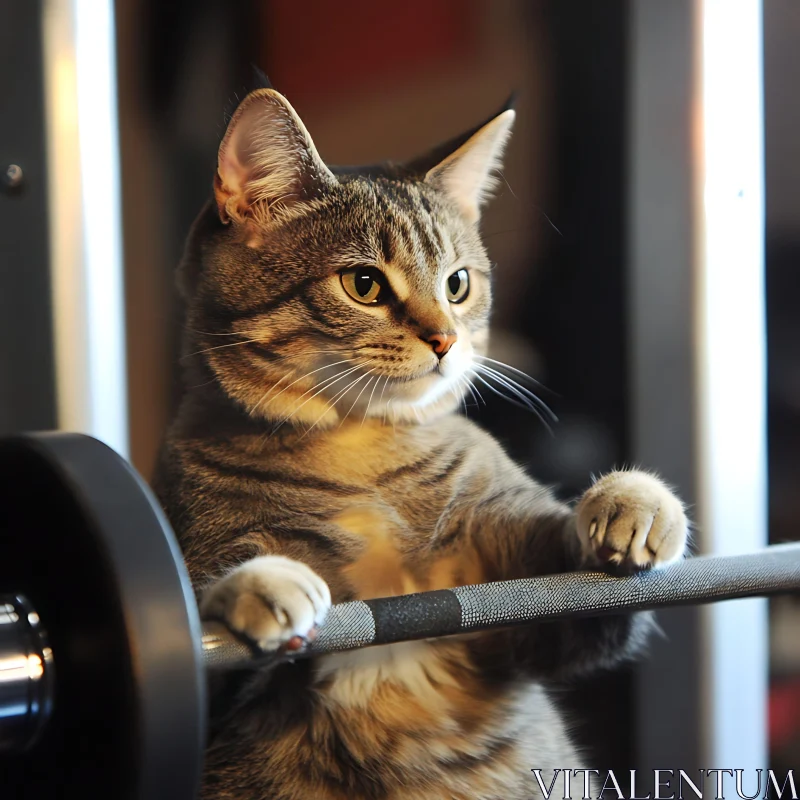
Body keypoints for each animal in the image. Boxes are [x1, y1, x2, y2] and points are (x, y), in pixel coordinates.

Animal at [153, 84, 692, 796]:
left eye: (457, 283)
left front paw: (635, 500)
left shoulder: (525, 601)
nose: (445, 339)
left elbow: (582, 589)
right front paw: (258, 583)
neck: (360, 453)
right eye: (364, 284)